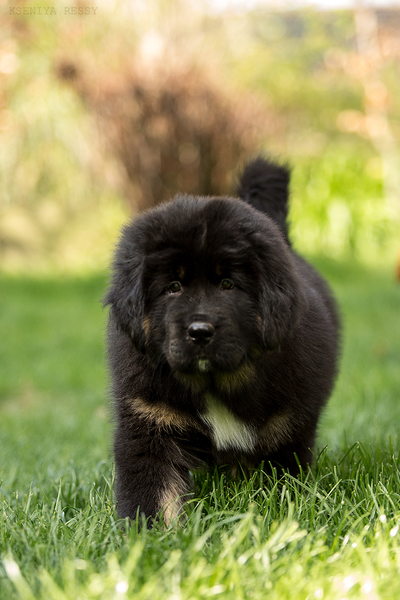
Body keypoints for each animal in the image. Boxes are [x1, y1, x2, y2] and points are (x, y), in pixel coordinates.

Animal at [104, 157, 340, 524]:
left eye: (228, 284)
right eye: (173, 287)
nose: (200, 331)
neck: (214, 383)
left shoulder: (286, 427)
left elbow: (280, 485)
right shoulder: (150, 422)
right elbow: (154, 494)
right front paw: (151, 535)